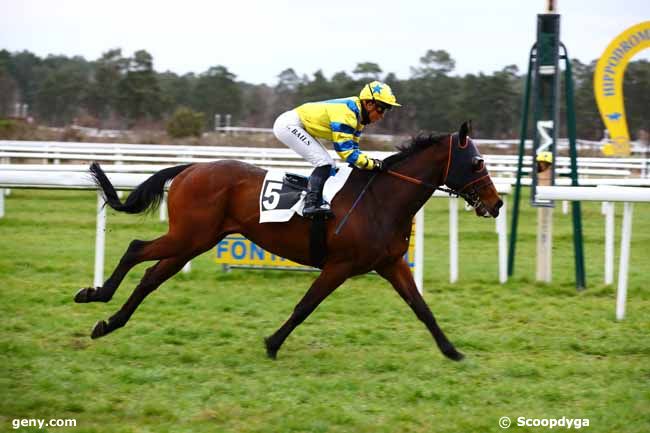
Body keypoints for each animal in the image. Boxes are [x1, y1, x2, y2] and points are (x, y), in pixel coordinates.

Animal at [76, 120, 502, 360]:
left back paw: (108, 323)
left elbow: (422, 309)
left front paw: (452, 351)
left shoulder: (391, 263)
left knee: (151, 277)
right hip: (188, 236)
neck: (381, 200)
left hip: (194, 241)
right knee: (135, 249)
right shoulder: (340, 265)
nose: (497, 203)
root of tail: (191, 167)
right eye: (478, 163)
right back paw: (94, 294)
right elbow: (304, 306)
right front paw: (272, 343)